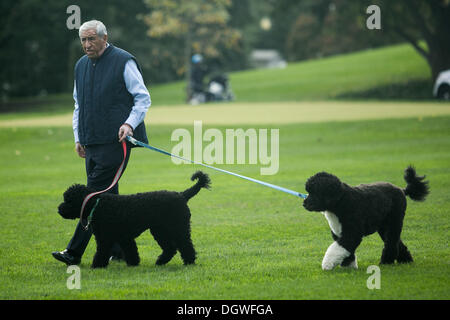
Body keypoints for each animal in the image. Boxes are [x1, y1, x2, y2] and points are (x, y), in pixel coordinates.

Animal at [57, 171, 210, 268]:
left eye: (68, 200)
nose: (59, 209)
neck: (97, 204)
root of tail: (182, 195)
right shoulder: (124, 237)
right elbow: (131, 251)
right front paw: (133, 264)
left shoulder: (104, 238)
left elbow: (101, 252)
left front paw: (97, 266)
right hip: (160, 230)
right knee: (171, 248)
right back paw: (160, 261)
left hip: (178, 228)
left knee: (185, 245)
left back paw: (189, 262)